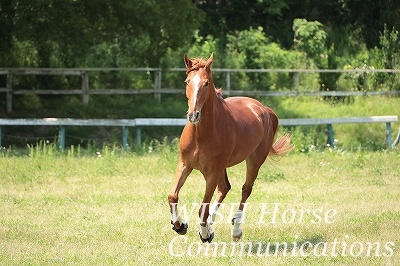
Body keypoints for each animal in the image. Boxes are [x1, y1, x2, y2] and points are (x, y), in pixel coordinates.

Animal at [167, 53, 292, 242]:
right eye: (187, 81)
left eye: (206, 83)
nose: (193, 115)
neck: (201, 134)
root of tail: (263, 109)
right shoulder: (185, 165)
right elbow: (173, 195)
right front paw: (180, 225)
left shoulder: (211, 173)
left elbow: (203, 208)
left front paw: (205, 234)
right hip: (222, 168)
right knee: (225, 188)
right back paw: (211, 227)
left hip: (254, 162)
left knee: (245, 189)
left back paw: (236, 229)